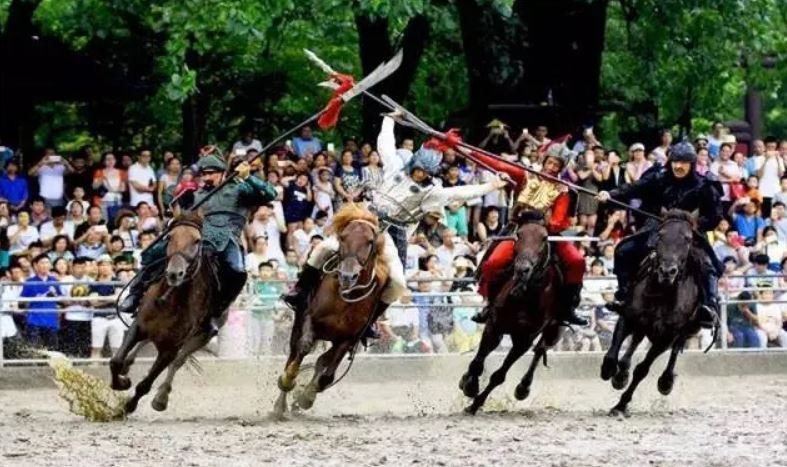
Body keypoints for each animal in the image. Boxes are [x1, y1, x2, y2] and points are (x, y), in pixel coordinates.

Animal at [108, 211, 222, 414]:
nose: (175, 273)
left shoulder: (170, 349)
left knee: (178, 362)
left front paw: (129, 405)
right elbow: (116, 361)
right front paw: (121, 382)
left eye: (197, 240)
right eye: (170, 237)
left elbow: (146, 384)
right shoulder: (138, 327)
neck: (169, 300)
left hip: (201, 337)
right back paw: (128, 366)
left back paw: (161, 397)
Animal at [274, 204, 390, 416]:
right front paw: (288, 383)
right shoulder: (309, 319)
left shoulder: (347, 340)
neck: (345, 299)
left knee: (322, 361)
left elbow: (327, 376)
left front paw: (306, 397)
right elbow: (302, 349)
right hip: (299, 324)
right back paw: (280, 404)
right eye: (342, 237)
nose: (347, 276)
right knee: (293, 355)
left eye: (370, 241)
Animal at [458, 213, 564, 416]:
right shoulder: (494, 326)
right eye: (519, 235)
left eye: (544, 237)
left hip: (553, 331)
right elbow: (478, 363)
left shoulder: (524, 340)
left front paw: (475, 403)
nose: (523, 269)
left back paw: (523, 388)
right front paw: (469, 385)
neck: (523, 297)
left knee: (540, 351)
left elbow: (499, 375)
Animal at [600, 208, 704, 416]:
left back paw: (666, 381)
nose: (667, 271)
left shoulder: (665, 338)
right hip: (642, 327)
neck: (660, 294)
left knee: (675, 350)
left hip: (682, 332)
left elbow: (642, 370)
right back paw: (621, 373)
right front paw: (610, 371)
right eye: (661, 235)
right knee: (634, 343)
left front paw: (621, 405)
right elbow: (613, 353)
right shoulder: (628, 318)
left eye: (688, 239)